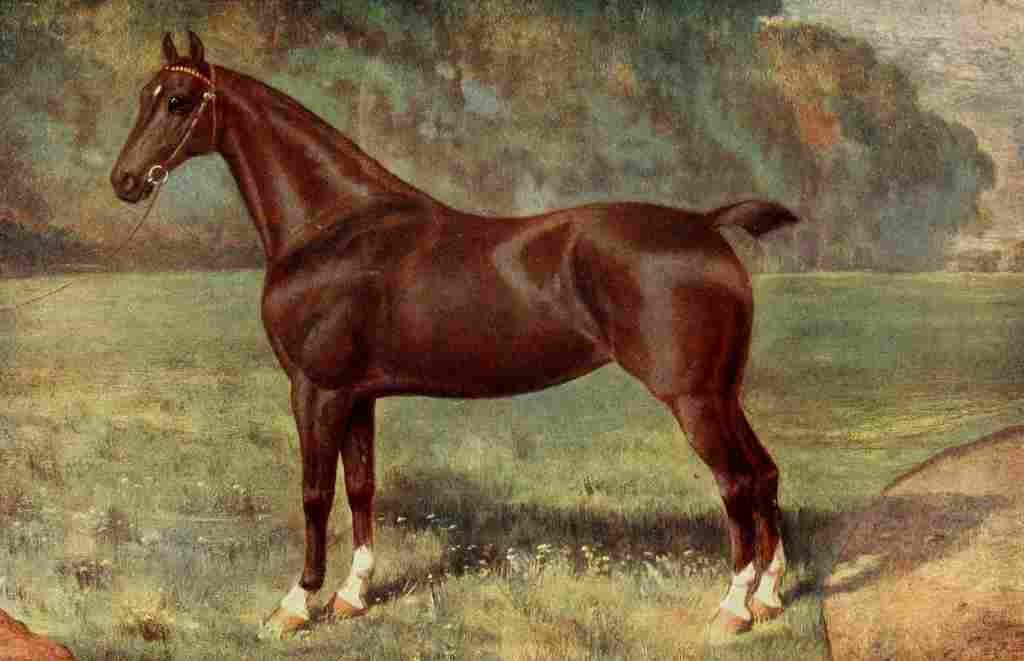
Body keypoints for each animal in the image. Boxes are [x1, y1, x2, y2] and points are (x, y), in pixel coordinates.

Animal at [111, 32, 798, 640]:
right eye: (144, 95)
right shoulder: (358, 396)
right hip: (723, 393)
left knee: (737, 482)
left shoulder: (316, 390)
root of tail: (705, 226)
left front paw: (297, 605)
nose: (126, 181)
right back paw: (768, 597)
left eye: (178, 101)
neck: (332, 226)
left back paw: (732, 609)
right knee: (765, 472)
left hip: (693, 399)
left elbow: (314, 494)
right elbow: (361, 489)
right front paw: (354, 595)